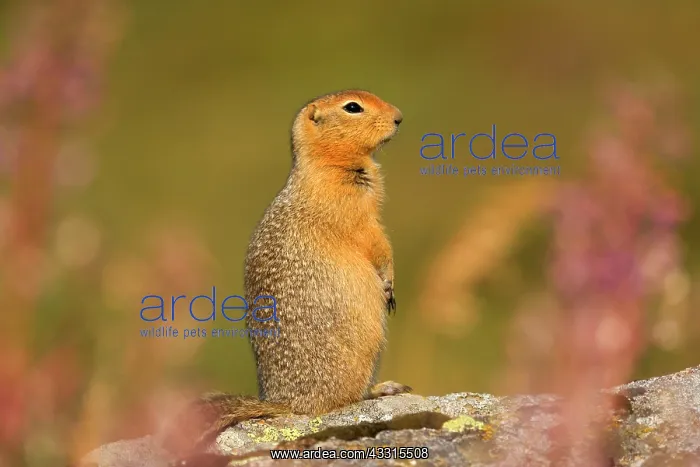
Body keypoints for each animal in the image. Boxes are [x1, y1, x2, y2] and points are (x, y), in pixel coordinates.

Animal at [161, 90, 410, 460]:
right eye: (353, 107)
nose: (399, 117)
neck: (326, 165)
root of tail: (288, 404)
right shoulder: (355, 212)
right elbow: (377, 242)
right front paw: (389, 283)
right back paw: (384, 389)